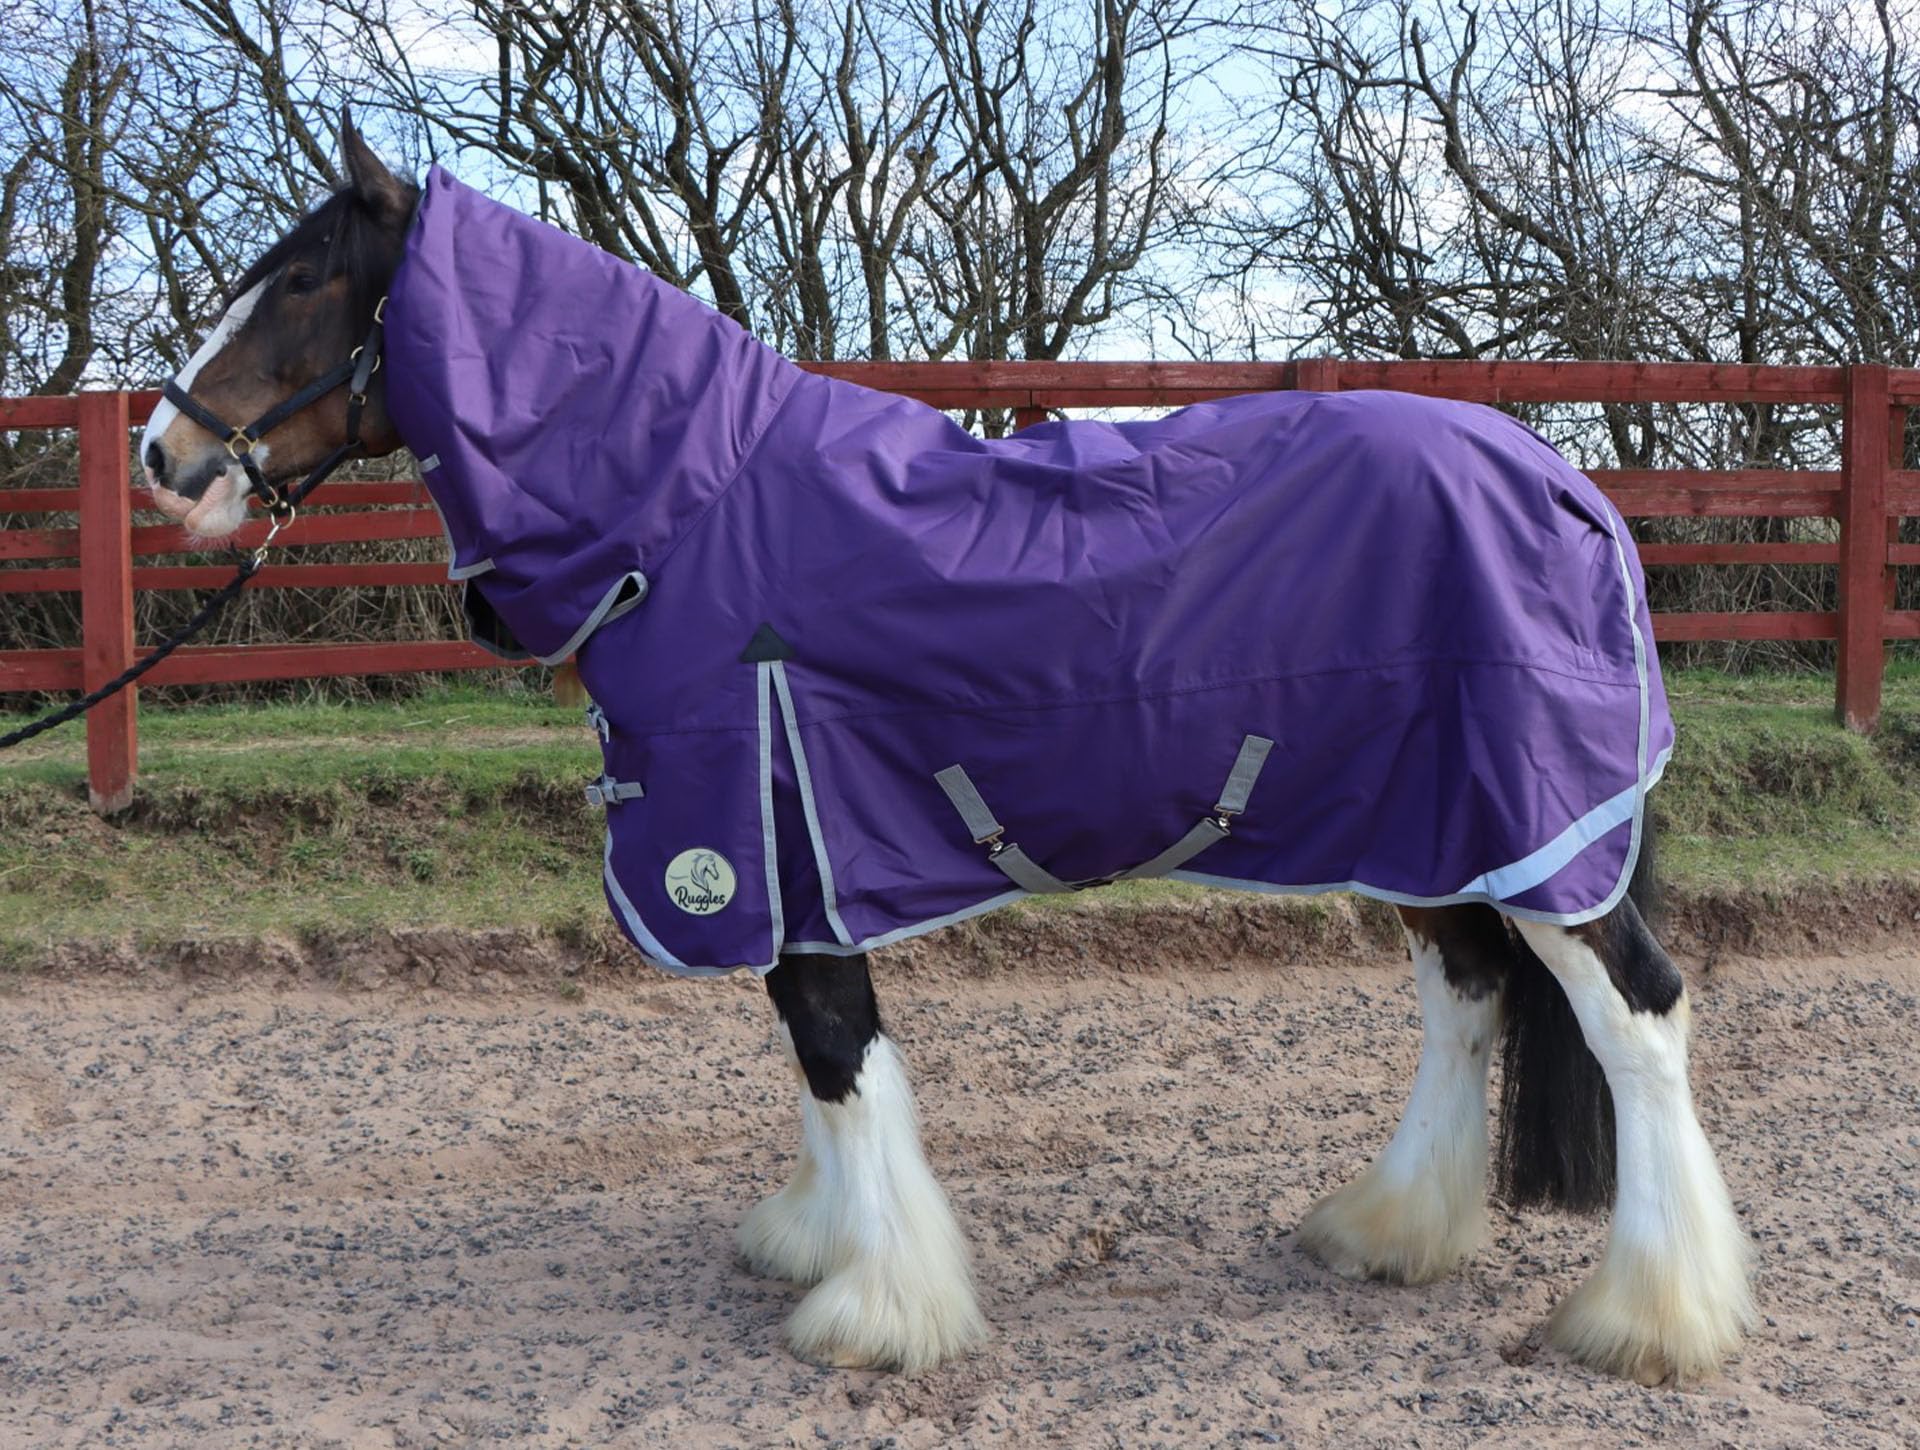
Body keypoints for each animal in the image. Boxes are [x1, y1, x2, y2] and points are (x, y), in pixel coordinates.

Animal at [138, 116, 1754, 1384]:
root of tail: (1565, 483)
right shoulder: (788, 857)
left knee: (1638, 1019)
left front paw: (876, 1310)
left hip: (1536, 831)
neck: (689, 511)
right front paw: (815, 1242)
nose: (165, 457)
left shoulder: (767, 830)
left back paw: (1649, 1318)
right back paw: (1391, 1230)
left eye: (301, 281)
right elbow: (811, 1060)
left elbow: (836, 1050)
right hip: (1433, 826)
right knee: (1464, 995)